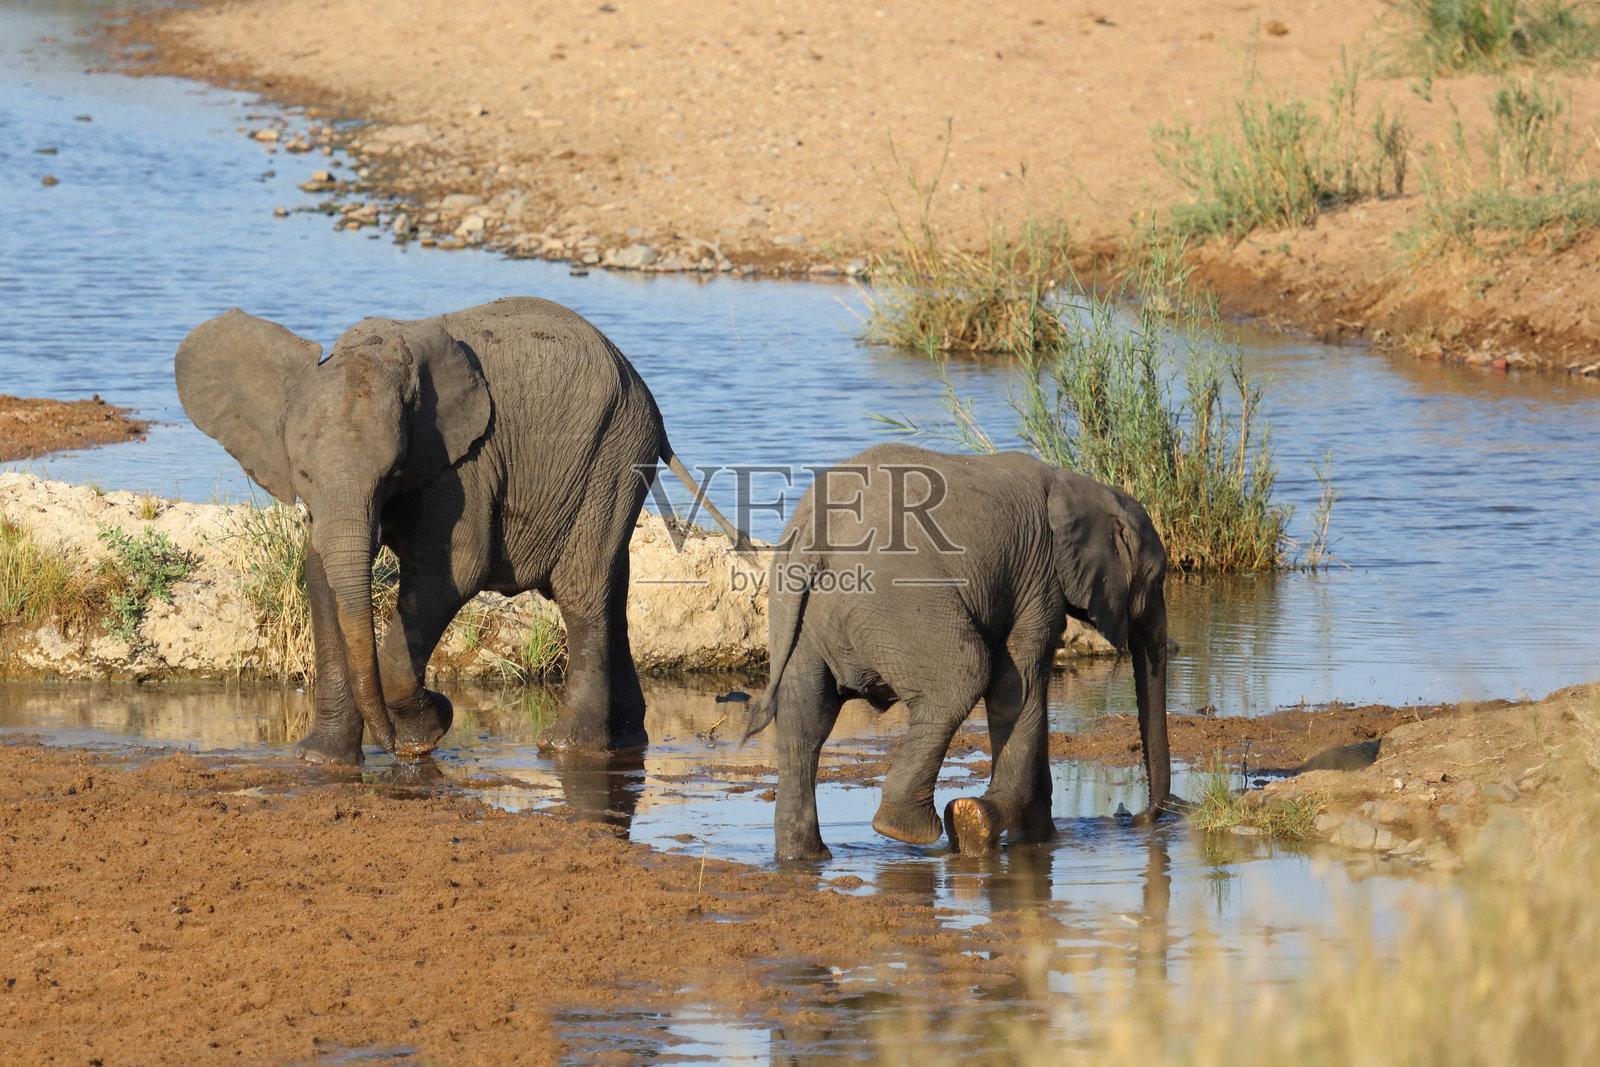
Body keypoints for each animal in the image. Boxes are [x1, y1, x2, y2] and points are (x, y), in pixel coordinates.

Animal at [175, 295, 739, 763]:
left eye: (392, 470)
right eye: (303, 475)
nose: (392, 746)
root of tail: (643, 391)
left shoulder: (464, 463)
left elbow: (454, 570)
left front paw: (426, 732)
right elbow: (320, 574)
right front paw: (323, 760)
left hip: (613, 452)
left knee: (582, 589)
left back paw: (568, 748)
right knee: (611, 589)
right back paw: (625, 740)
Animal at [744, 443, 1170, 860]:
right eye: (1158, 579)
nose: (1136, 818)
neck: (1080, 486)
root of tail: (813, 535)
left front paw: (1029, 836)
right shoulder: (1037, 579)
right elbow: (1017, 682)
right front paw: (998, 825)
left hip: (796, 616)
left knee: (805, 723)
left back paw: (808, 857)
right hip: (897, 599)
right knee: (962, 678)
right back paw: (907, 829)